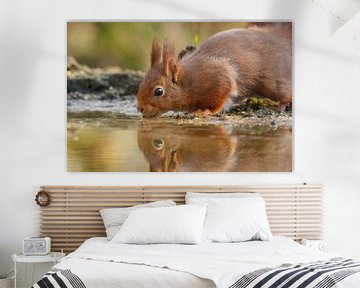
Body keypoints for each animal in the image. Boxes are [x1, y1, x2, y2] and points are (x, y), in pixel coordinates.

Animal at [136, 23, 292, 116]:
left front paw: (205, 111)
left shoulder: (217, 77)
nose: (140, 108)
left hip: (273, 82)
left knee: (286, 93)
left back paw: (282, 104)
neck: (188, 81)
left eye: (158, 91)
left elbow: (220, 99)